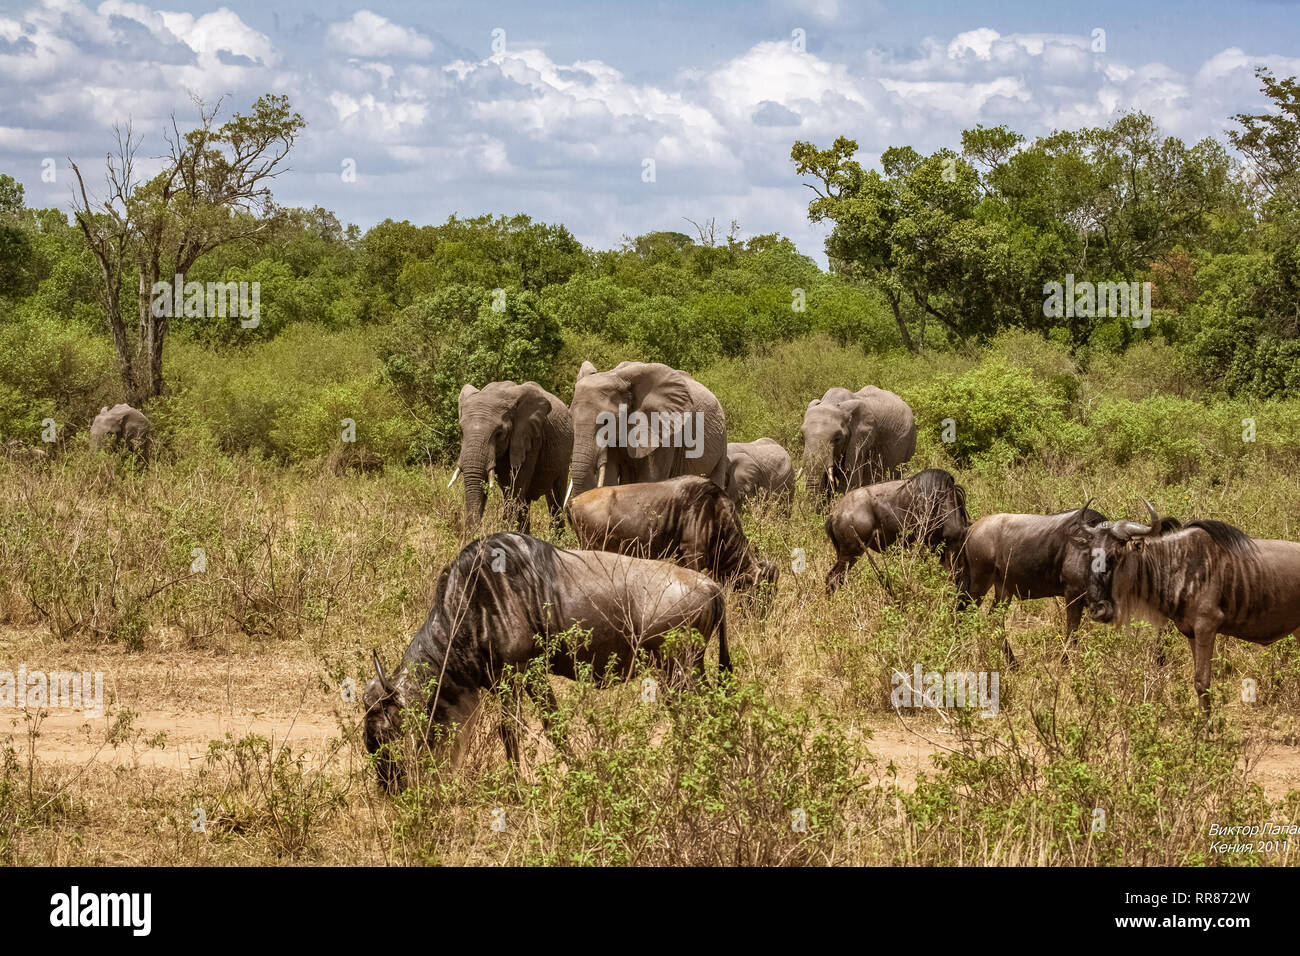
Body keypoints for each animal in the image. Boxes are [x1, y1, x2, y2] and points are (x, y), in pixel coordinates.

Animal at [569, 361, 733, 502]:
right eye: (571, 417)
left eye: (606, 422)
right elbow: (610, 475)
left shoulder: (664, 433)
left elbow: (650, 479)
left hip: (722, 438)